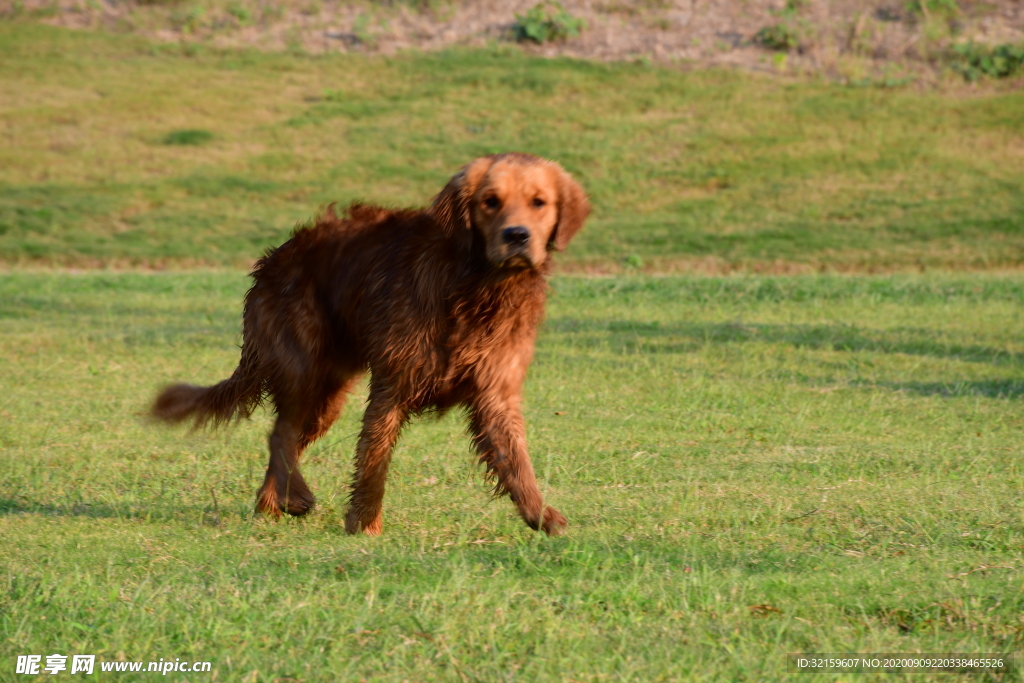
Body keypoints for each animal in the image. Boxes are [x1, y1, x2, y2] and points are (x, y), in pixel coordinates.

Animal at [148, 153, 589, 532]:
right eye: (490, 202)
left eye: (539, 202)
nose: (517, 236)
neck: (475, 286)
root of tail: (273, 259)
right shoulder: (392, 385)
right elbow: (374, 461)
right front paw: (364, 526)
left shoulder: (496, 392)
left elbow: (517, 463)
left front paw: (541, 516)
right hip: (303, 365)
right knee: (281, 433)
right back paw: (296, 497)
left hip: (327, 394)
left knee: (285, 440)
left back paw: (273, 504)